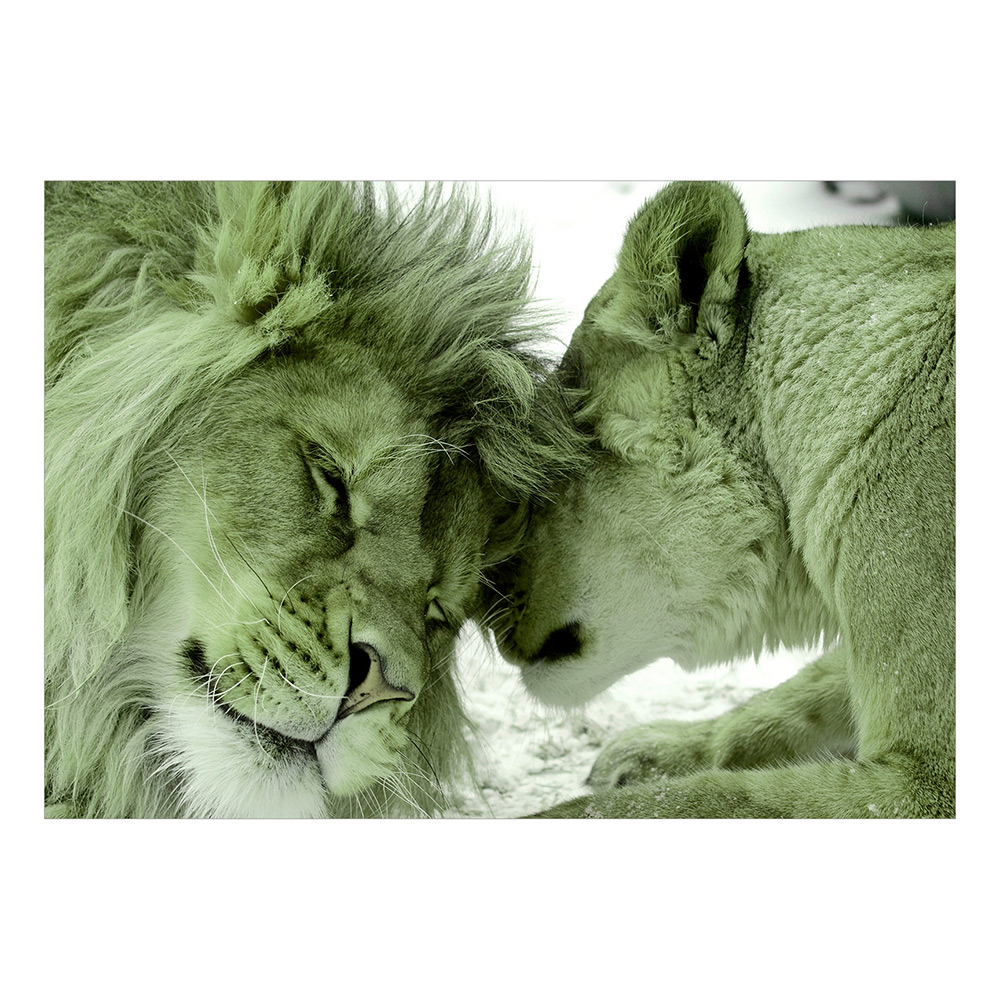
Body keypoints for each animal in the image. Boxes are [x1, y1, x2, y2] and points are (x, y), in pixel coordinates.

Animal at [492, 181, 955, 818]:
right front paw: (652, 751)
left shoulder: (927, 782)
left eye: (544, 474)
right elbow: (794, 697)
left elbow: (701, 800)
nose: (483, 610)